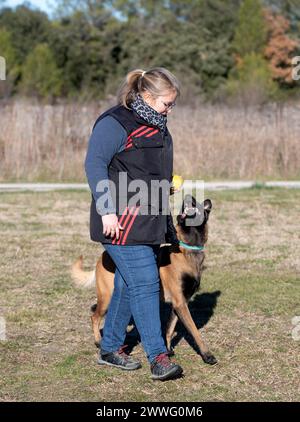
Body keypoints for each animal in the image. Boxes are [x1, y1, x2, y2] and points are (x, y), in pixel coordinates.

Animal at [72, 196, 218, 364]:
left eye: (197, 204)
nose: (188, 198)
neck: (188, 247)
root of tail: (101, 257)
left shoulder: (180, 302)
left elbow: (169, 328)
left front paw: (168, 349)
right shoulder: (180, 302)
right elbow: (194, 331)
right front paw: (207, 354)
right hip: (106, 297)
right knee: (94, 317)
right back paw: (98, 341)